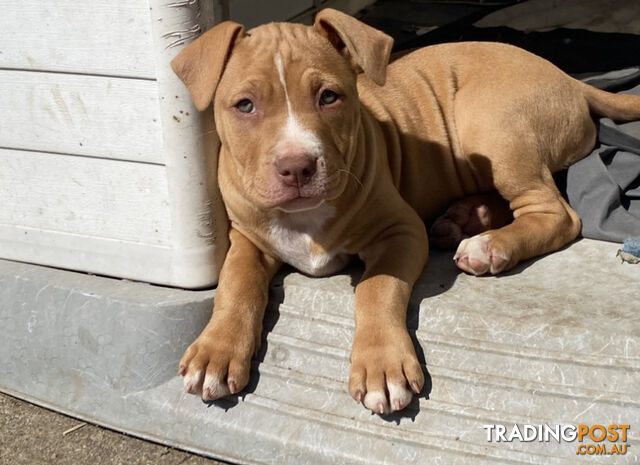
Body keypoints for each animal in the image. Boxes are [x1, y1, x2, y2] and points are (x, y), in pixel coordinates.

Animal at [172, 8, 640, 414]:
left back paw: (489, 245)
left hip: (492, 122)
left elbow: (376, 287)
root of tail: (570, 79)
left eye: (329, 97)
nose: (297, 167)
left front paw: (381, 367)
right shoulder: (247, 238)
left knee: (558, 214)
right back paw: (465, 219)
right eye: (244, 105)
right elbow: (237, 283)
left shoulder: (400, 231)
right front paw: (216, 352)